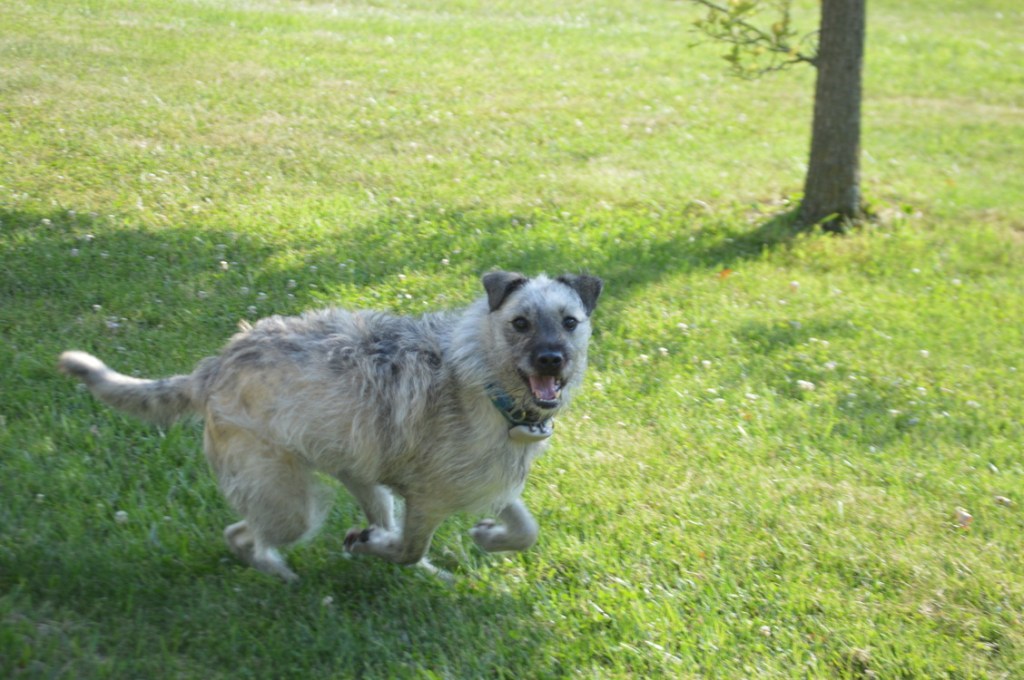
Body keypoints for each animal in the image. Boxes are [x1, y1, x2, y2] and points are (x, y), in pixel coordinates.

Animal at [59, 271, 602, 582]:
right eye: (520, 323)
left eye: (569, 322)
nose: (552, 360)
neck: (486, 382)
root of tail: (212, 368)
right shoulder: (428, 499)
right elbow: (408, 548)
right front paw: (382, 550)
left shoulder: (489, 482)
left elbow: (525, 528)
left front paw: (490, 536)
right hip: (288, 503)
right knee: (243, 534)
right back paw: (279, 573)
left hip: (359, 478)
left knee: (364, 519)